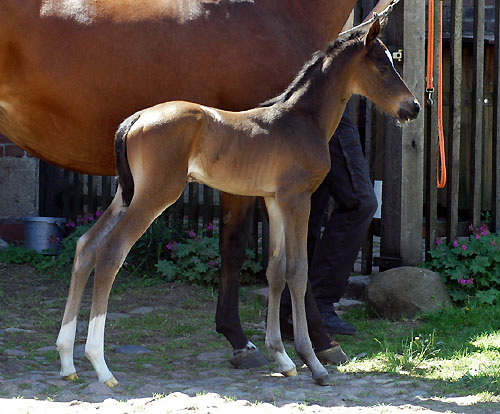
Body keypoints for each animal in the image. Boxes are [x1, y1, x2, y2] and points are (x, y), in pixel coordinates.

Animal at [0, 0, 386, 368]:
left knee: (87, 246)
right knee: (110, 252)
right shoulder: (267, 184)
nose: (403, 109)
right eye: (384, 65)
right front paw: (301, 343)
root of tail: (134, 121)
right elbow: (254, 250)